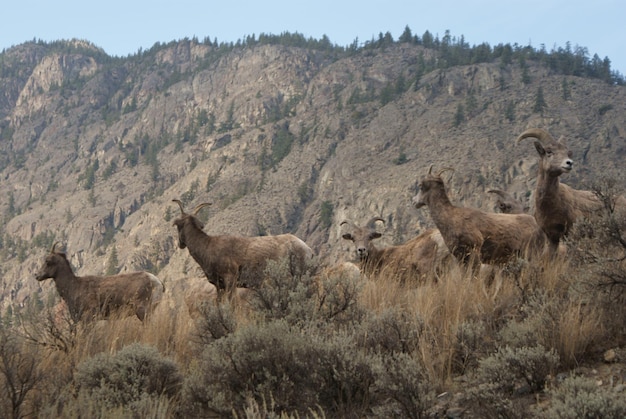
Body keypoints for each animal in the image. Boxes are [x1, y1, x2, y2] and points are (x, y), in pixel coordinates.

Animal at [34, 243, 163, 322]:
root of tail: (156, 282)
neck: (73, 287)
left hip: (142, 311)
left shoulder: (89, 318)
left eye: (48, 261)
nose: (37, 275)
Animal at [169, 201, 312, 302]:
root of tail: (308, 249)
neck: (207, 247)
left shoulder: (230, 280)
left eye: (177, 225)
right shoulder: (219, 286)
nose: (180, 244)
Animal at [412, 168, 544, 264]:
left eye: (420, 186)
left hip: (531, 254)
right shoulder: (460, 257)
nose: (414, 202)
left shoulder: (474, 253)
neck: (451, 218)